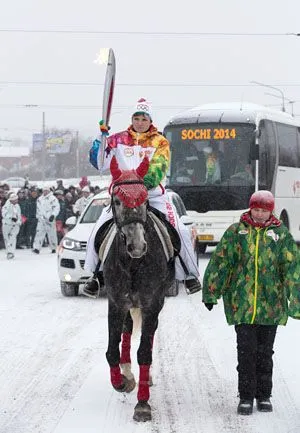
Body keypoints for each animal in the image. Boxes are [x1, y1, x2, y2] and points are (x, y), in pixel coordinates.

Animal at [97, 154, 175, 418]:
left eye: (144, 200)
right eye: (117, 200)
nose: (137, 245)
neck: (133, 263)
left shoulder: (152, 303)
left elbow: (145, 352)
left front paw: (142, 403)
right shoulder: (116, 302)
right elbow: (112, 350)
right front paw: (121, 382)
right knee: (128, 329)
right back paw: (127, 371)